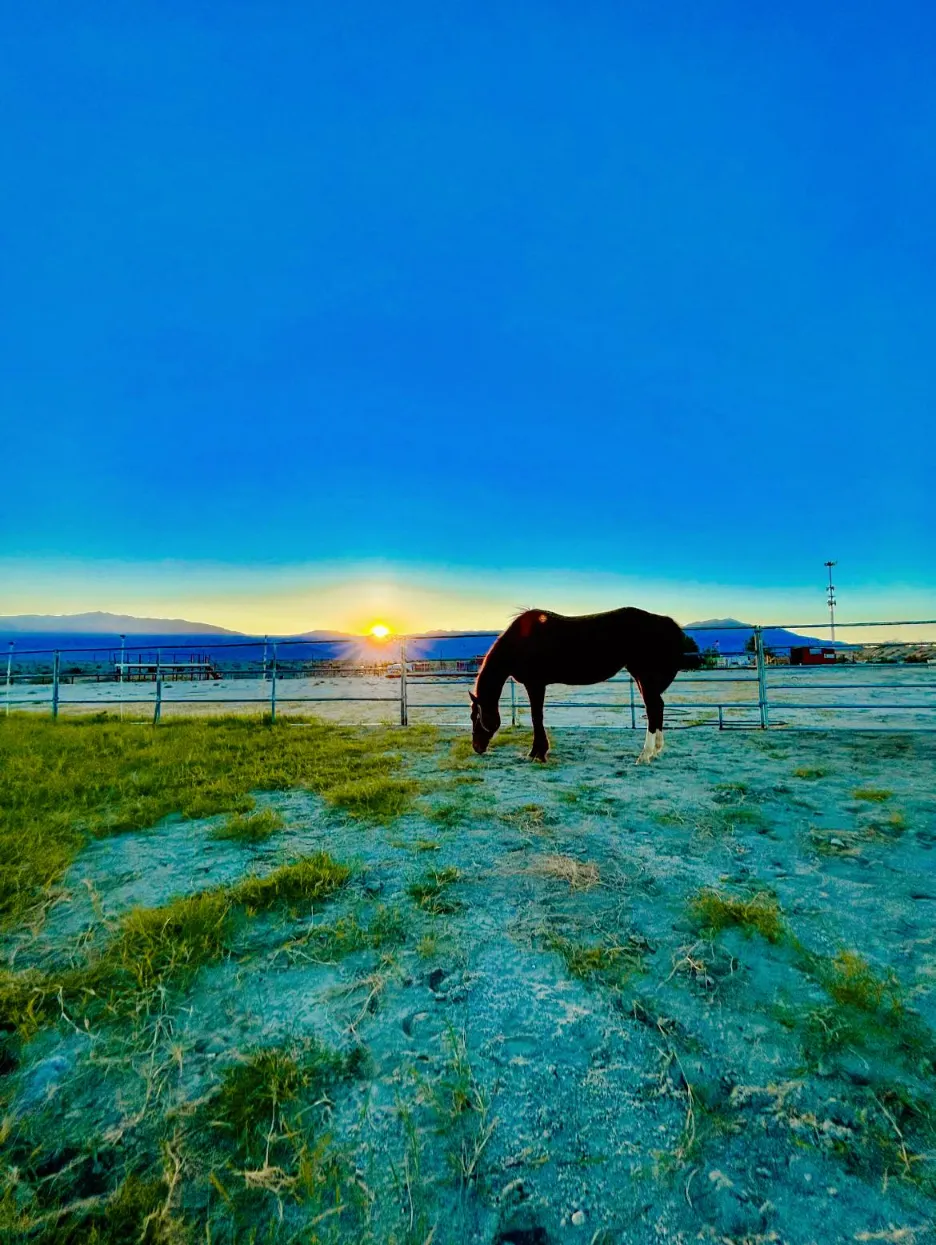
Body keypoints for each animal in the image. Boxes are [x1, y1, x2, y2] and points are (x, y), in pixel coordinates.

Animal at [469, 606, 696, 764]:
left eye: (475, 717)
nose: (477, 747)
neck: (520, 642)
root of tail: (665, 622)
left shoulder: (535, 685)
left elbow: (536, 717)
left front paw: (536, 753)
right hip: (642, 678)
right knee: (657, 708)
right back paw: (655, 751)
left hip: (644, 676)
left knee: (653, 708)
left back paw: (644, 755)